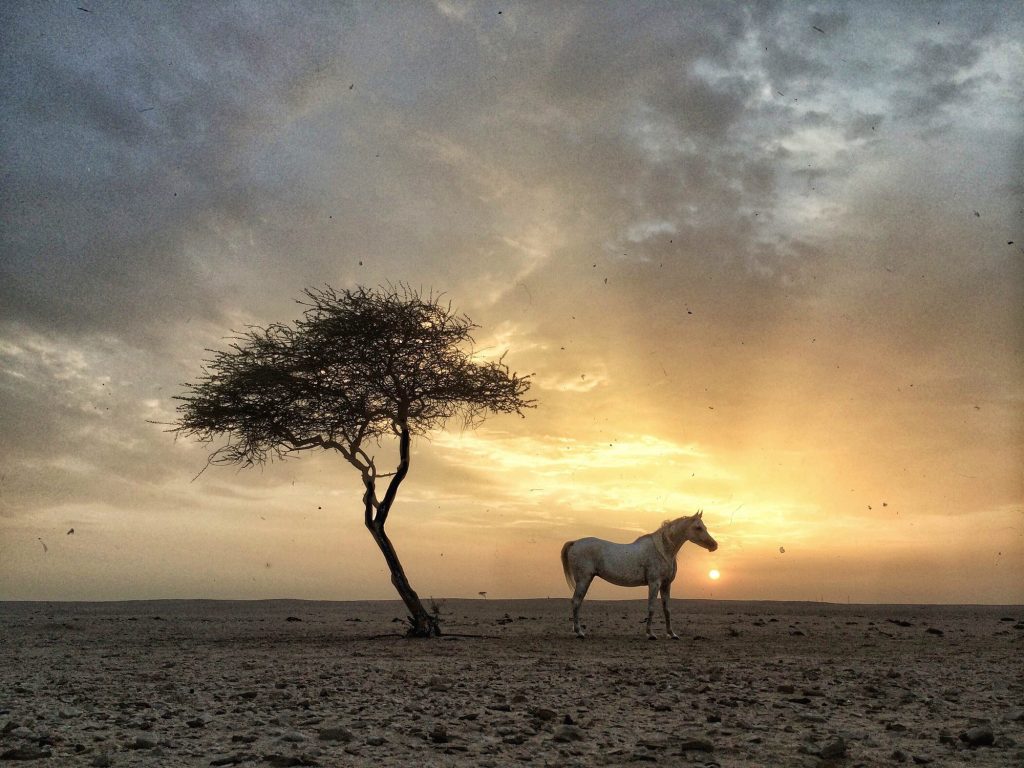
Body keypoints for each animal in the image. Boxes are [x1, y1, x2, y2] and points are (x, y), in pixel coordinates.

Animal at [561, 514, 720, 638]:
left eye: (704, 527)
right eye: (698, 527)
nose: (714, 545)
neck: (662, 550)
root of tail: (575, 543)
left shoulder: (666, 585)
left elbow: (667, 609)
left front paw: (672, 634)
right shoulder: (654, 583)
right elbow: (651, 607)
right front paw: (650, 634)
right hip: (584, 580)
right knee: (576, 602)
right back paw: (579, 632)